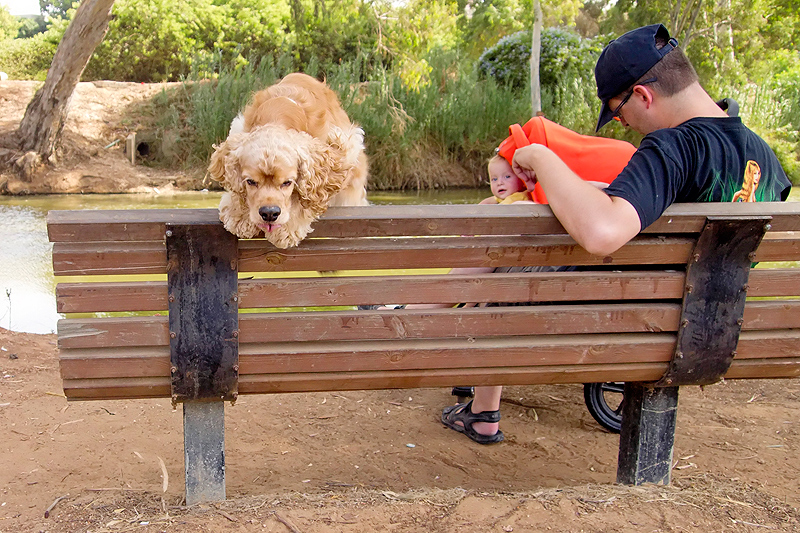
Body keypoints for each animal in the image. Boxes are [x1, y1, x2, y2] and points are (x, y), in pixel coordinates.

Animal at [206, 71, 368, 248]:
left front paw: (287, 230)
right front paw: (240, 217)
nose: (269, 213)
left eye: (287, 183)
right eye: (250, 182)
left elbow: (307, 196)